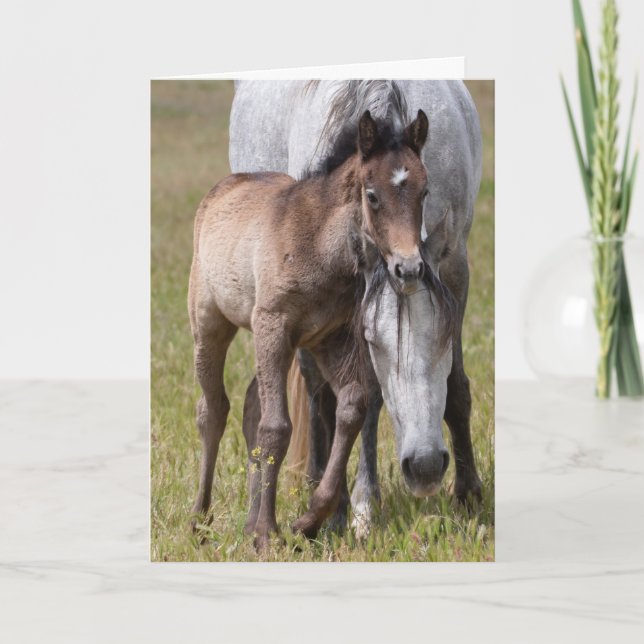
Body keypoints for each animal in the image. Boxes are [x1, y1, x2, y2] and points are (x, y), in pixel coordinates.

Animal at [189, 109, 449, 548]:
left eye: (425, 191)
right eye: (372, 195)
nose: (409, 268)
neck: (319, 244)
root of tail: (221, 189)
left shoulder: (332, 336)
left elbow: (352, 407)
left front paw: (308, 521)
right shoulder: (273, 324)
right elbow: (276, 427)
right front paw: (267, 534)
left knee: (249, 404)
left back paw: (245, 521)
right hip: (210, 322)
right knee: (213, 410)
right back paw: (199, 520)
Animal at [229, 81, 483, 534]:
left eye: (444, 335)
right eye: (373, 341)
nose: (425, 466)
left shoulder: (455, 267)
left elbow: (455, 387)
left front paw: (469, 496)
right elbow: (361, 396)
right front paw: (360, 506)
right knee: (317, 391)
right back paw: (326, 495)